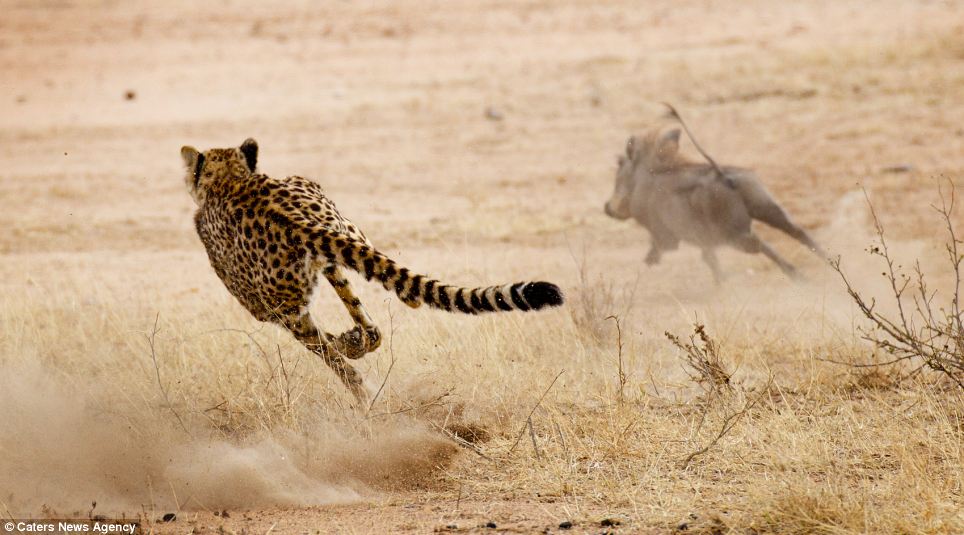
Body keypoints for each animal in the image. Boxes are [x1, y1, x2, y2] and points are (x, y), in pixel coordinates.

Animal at [181, 140, 564, 404]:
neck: (229, 179)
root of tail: (291, 219)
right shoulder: (324, 267)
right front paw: (352, 340)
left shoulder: (263, 310)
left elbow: (327, 346)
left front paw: (346, 348)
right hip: (345, 237)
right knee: (378, 317)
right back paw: (367, 335)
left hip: (289, 307)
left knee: (332, 357)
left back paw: (364, 392)